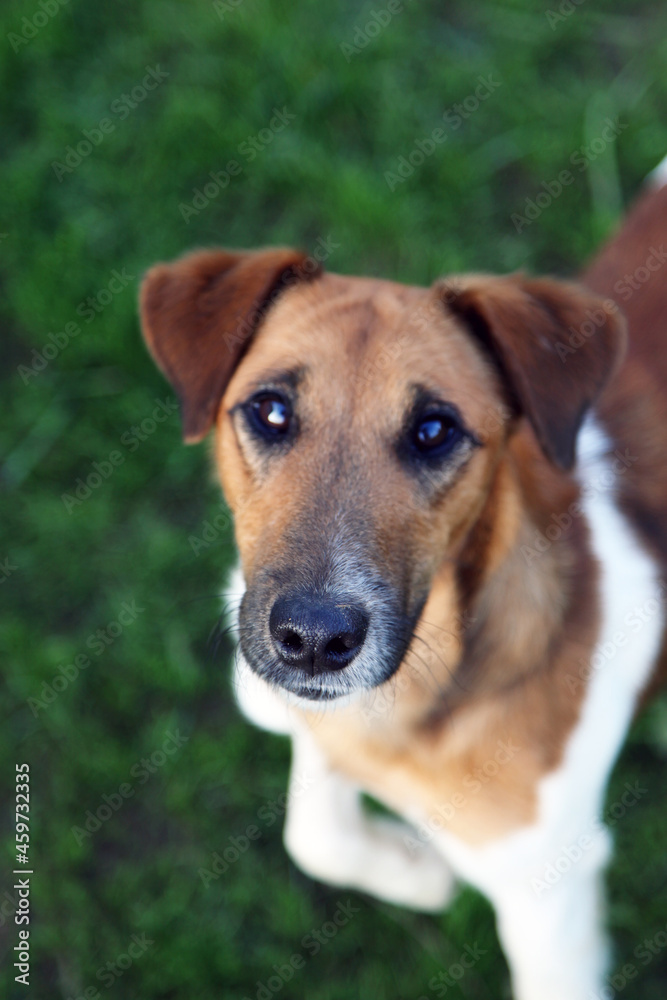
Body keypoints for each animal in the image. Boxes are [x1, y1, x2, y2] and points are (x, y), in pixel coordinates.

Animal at [137, 160, 667, 996]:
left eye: (434, 430)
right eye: (270, 411)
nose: (312, 641)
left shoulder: (549, 891)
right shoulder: (293, 705)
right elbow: (313, 831)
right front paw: (416, 869)